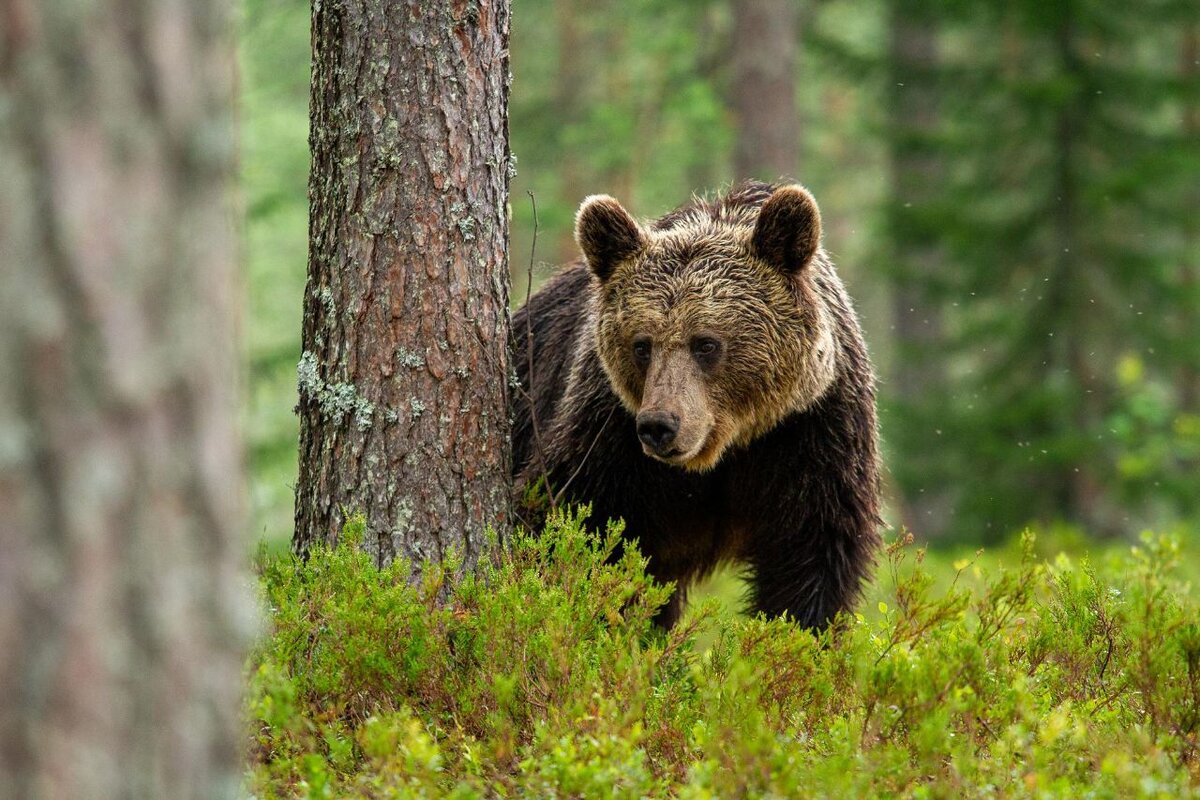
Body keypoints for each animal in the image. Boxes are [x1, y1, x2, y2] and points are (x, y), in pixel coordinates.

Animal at [508, 183, 883, 633]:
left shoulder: (811, 433)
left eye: (706, 343)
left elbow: (811, 557)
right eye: (642, 345)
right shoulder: (608, 441)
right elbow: (568, 525)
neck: (725, 450)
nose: (659, 425)